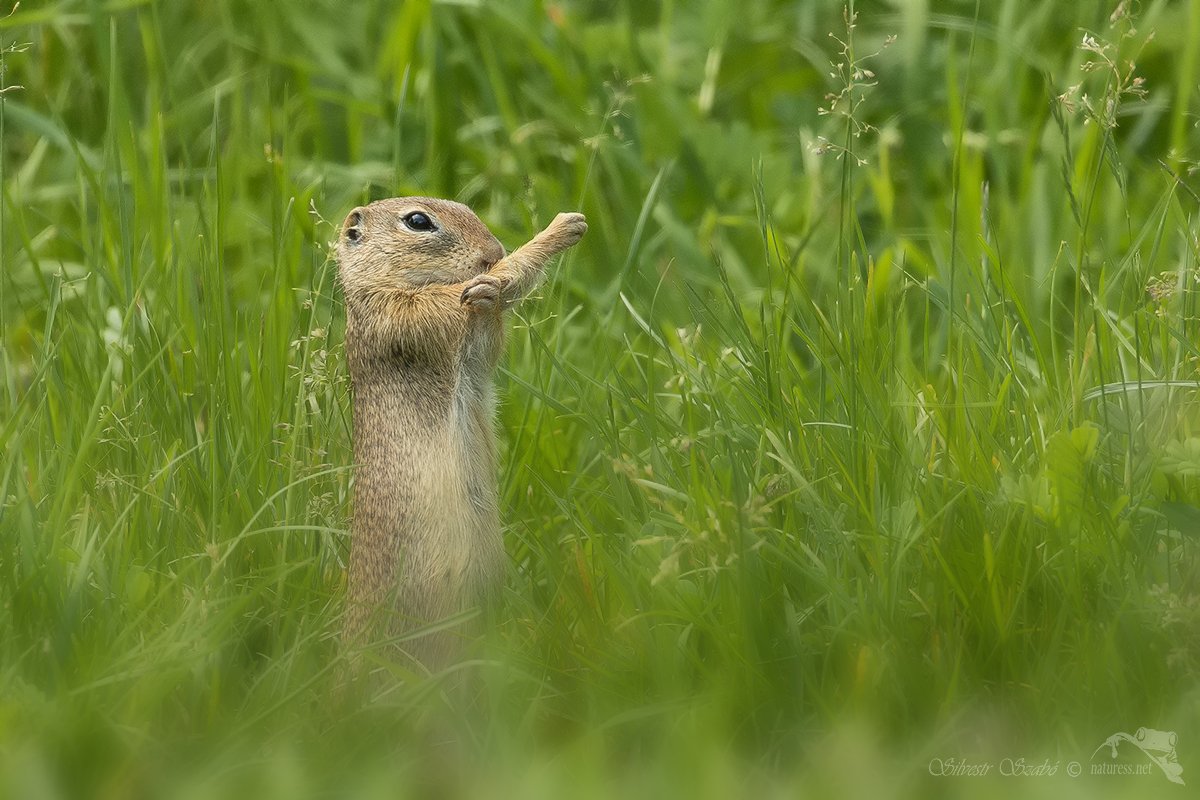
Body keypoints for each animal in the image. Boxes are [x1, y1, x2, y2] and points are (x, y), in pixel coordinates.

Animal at [338, 196, 585, 666]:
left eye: (465, 206)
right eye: (418, 221)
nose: (492, 250)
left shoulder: (470, 345)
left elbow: (487, 341)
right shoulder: (406, 315)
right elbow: (473, 292)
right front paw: (561, 229)